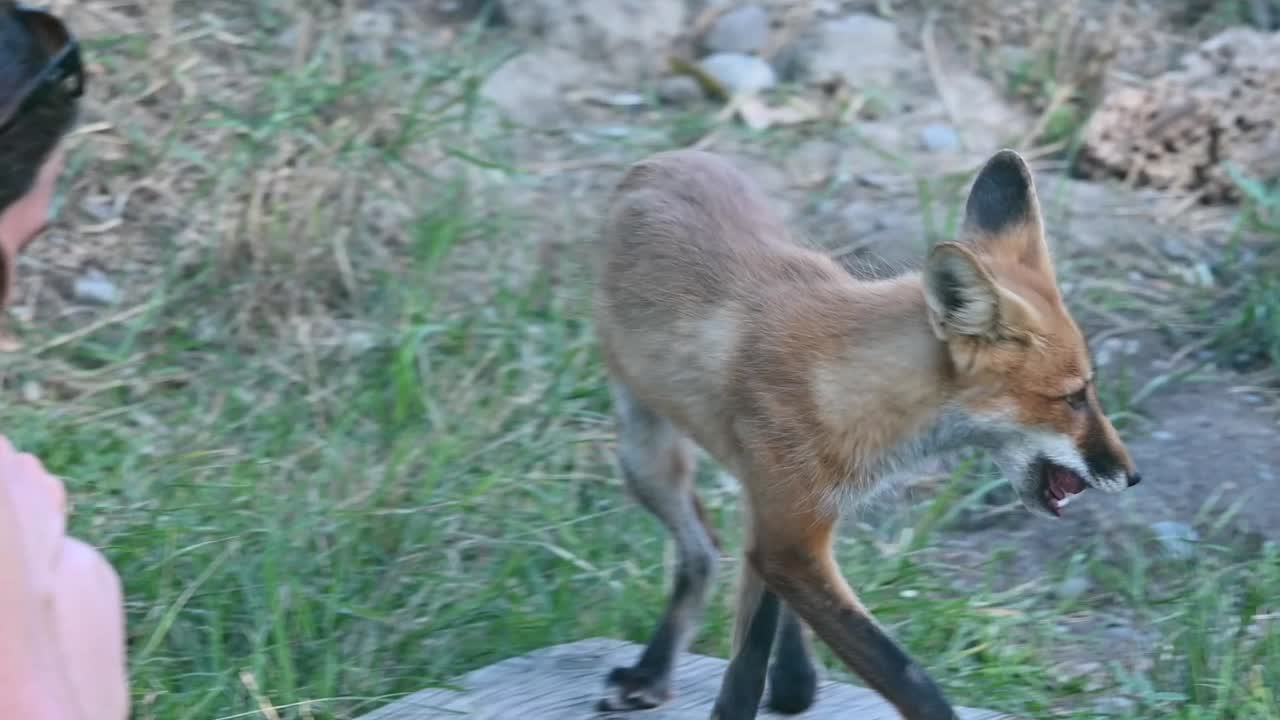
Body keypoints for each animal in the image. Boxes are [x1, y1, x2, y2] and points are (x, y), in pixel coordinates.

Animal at [591, 147, 1142, 720]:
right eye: (1074, 397)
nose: (1132, 475)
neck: (848, 390)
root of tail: (669, 157)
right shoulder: (788, 539)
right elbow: (900, 674)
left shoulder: (791, 522)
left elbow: (762, 633)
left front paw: (782, 681)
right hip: (645, 455)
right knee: (700, 554)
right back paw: (654, 671)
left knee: (729, 562)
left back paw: (789, 681)